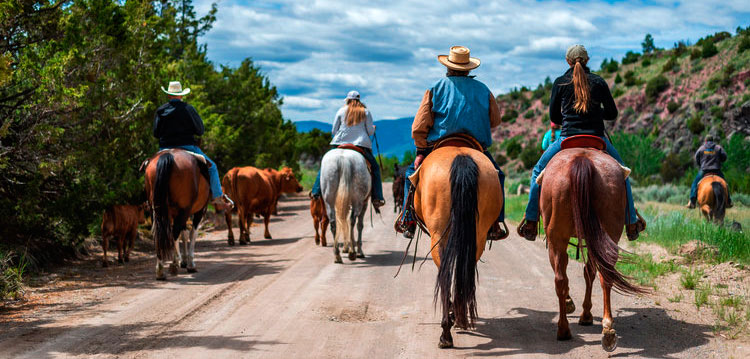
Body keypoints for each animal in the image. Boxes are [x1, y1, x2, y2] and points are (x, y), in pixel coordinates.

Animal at [143, 149, 212, 282]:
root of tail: (168, 155)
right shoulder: (200, 211)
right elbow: (192, 234)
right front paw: (190, 263)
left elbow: (183, 233)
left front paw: (184, 261)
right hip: (185, 210)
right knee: (174, 233)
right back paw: (174, 263)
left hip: (156, 211)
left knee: (160, 235)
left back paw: (160, 270)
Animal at [408, 137, 502, 348]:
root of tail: (461, 157)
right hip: (477, 236)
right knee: (463, 269)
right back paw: (458, 319)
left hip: (439, 236)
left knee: (445, 274)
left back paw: (447, 332)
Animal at [540, 136, 648, 352]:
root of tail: (583, 160)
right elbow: (589, 272)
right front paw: (585, 314)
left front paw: (578, 309)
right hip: (608, 234)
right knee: (604, 275)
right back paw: (607, 331)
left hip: (557, 239)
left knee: (561, 279)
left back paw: (564, 329)